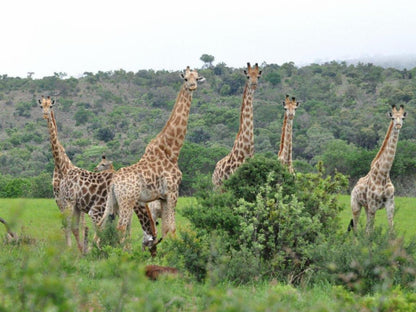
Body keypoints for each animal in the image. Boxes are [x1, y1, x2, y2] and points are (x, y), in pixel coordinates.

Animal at [96, 67, 203, 239]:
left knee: (101, 224)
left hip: (112, 201)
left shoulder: (163, 197)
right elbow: (173, 228)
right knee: (121, 227)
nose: (193, 86)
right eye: (186, 79)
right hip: (127, 200)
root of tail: (113, 182)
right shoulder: (173, 191)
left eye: (197, 78)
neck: (172, 151)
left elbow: (166, 229)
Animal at [350, 105, 408, 234]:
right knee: (355, 227)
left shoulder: (390, 204)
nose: (398, 126)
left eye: (402, 118)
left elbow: (391, 229)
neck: (384, 173)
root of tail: (354, 187)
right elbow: (370, 231)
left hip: (366, 207)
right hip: (356, 205)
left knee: (365, 227)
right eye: (392, 118)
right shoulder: (372, 205)